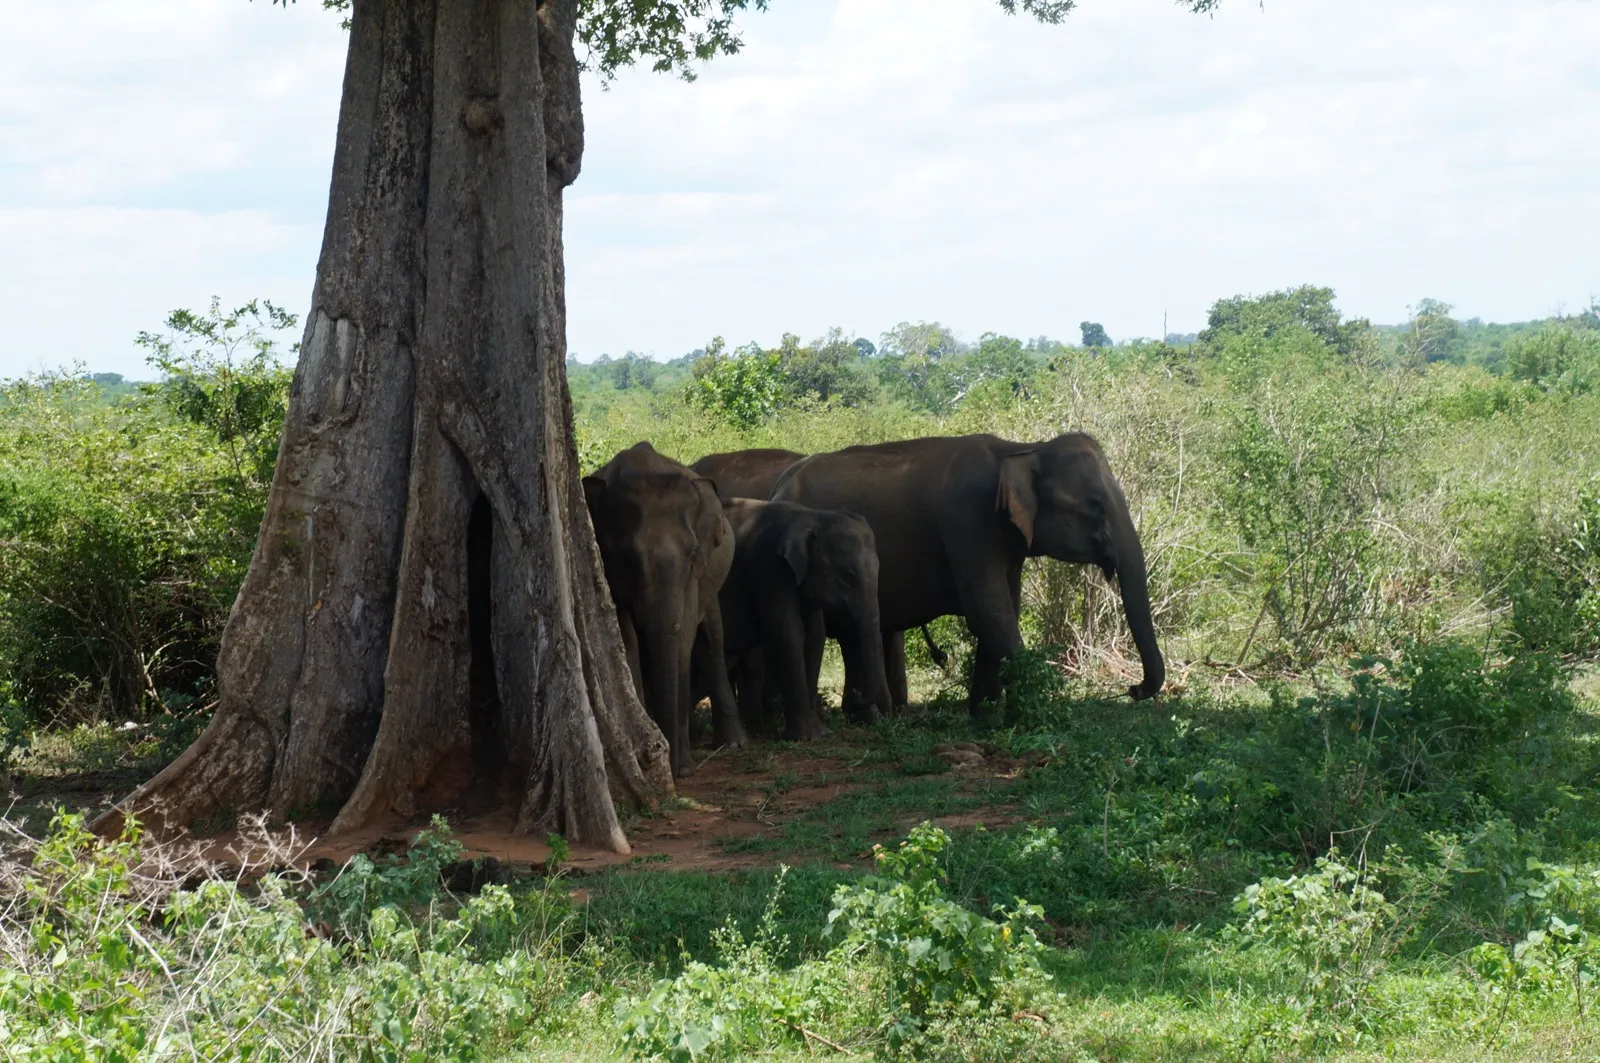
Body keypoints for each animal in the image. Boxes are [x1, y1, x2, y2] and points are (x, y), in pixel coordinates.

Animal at [584, 442, 745, 777]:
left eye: (692, 553)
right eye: (629, 558)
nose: (673, 768)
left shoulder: (693, 574)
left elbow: (684, 637)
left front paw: (683, 767)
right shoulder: (608, 571)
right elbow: (626, 640)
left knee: (712, 640)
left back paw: (733, 743)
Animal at [713, 499, 890, 739]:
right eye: (848, 576)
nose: (856, 692)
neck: (812, 515)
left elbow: (815, 635)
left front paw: (821, 732)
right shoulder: (770, 568)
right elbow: (789, 632)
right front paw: (806, 736)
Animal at [771, 432, 1164, 715]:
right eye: (1096, 505)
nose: (1134, 689)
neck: (1022, 449)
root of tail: (778, 486)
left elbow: (1004, 609)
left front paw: (983, 714)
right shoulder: (968, 519)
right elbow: (988, 609)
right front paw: (1037, 710)